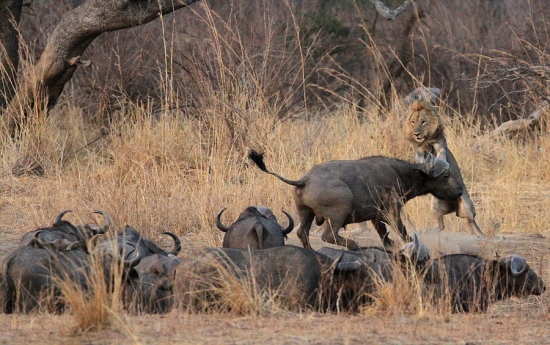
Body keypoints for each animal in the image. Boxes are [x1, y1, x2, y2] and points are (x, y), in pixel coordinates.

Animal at [248, 149, 464, 249]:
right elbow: (402, 231)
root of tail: (305, 179)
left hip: (304, 212)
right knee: (329, 235)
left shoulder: (376, 217)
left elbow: (384, 235)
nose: (460, 192)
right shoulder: (393, 212)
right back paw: (353, 245)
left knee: (302, 232)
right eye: (446, 176)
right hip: (339, 211)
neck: (400, 174)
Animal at [406, 99, 488, 236]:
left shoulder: (440, 148)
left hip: (467, 205)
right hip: (435, 205)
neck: (426, 140)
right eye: (413, 122)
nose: (416, 134)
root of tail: (453, 208)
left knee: (470, 222)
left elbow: (441, 159)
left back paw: (475, 235)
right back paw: (427, 231)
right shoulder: (419, 153)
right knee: (442, 226)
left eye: (423, 121)